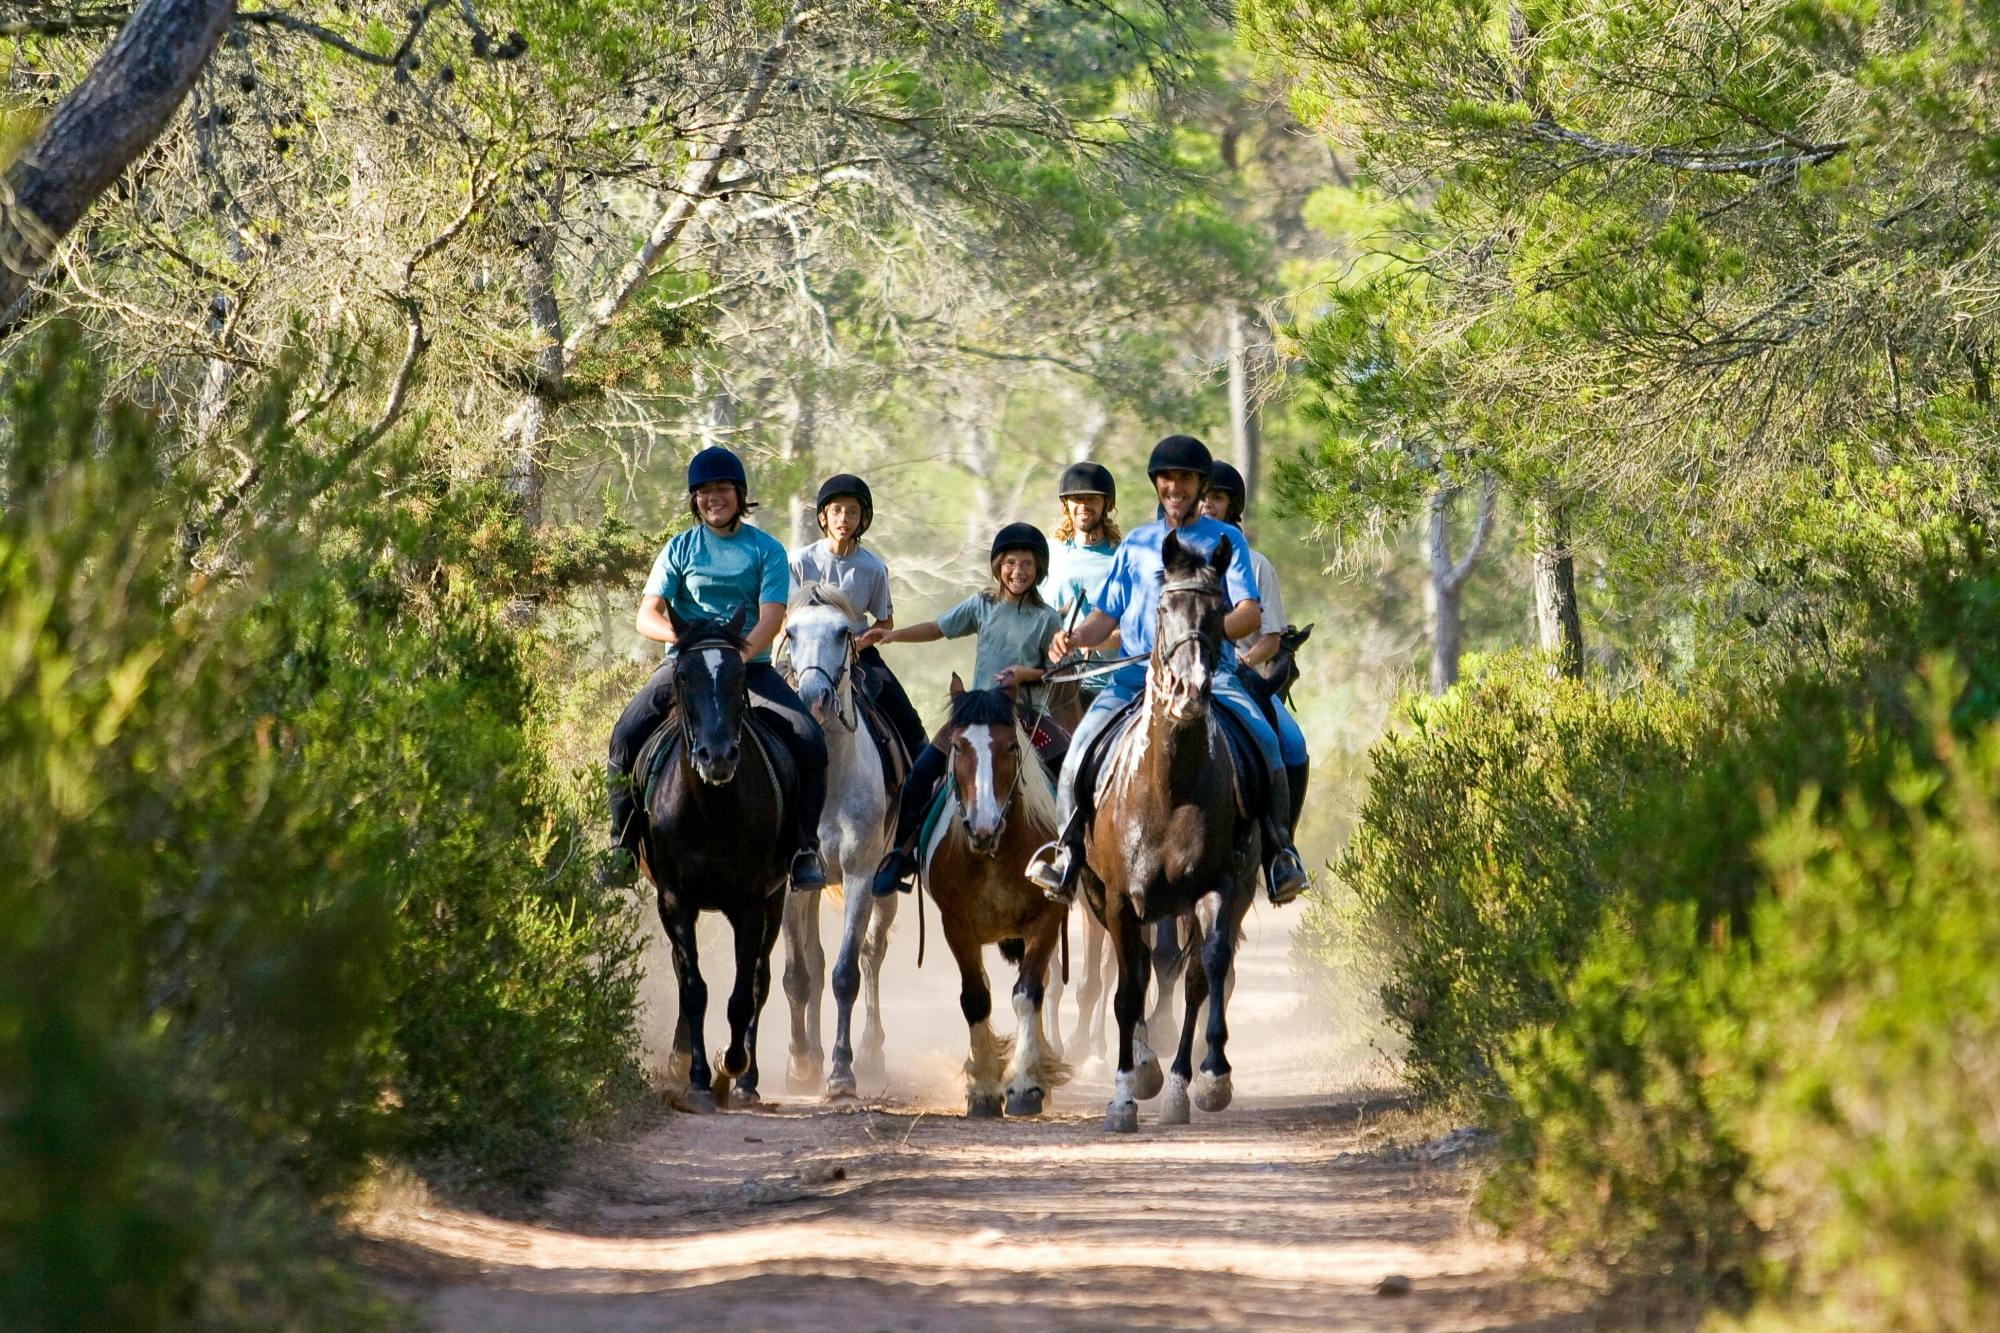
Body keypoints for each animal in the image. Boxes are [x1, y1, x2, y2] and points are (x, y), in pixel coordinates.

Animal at [641, 607, 791, 1113]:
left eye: (739, 675)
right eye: (684, 675)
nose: (717, 756)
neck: (709, 808)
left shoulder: (749, 903)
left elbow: (743, 995)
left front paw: (731, 1064)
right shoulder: (674, 901)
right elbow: (693, 988)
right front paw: (698, 1078)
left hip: (777, 901)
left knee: (761, 979)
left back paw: (747, 1081)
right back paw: (680, 1056)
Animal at [921, 678, 1071, 1118]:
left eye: (1009, 747)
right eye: (958, 746)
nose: (981, 826)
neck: (994, 853)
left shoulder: (1046, 919)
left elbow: (1027, 993)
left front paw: (1025, 1086)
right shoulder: (956, 927)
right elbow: (975, 999)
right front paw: (983, 1089)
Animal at [1079, 531, 1260, 1133]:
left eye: (1220, 610)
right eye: (1162, 609)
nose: (1188, 691)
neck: (1170, 786)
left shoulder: (1217, 889)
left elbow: (1204, 976)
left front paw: (1202, 1080)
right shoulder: (1118, 900)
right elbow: (1127, 993)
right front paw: (1124, 1093)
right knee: (1132, 975)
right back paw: (1139, 1064)